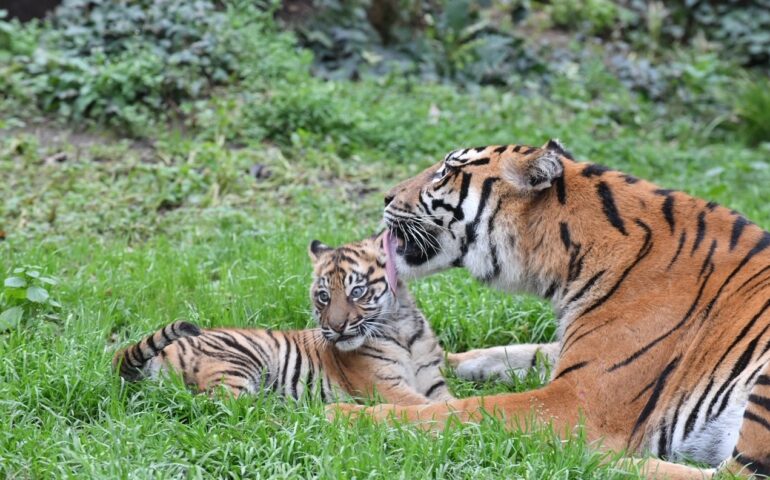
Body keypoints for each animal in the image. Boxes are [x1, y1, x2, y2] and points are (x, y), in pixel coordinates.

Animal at [113, 234, 450, 406]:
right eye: (323, 297)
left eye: (357, 291)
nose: (336, 328)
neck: (403, 329)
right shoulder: (386, 387)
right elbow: (432, 407)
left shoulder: (433, 379)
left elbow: (443, 398)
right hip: (238, 362)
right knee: (221, 407)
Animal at [332, 141, 768, 478]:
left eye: (446, 171)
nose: (385, 196)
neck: (565, 265)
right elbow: (505, 353)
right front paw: (440, 360)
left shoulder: (578, 399)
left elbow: (462, 410)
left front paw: (341, 414)